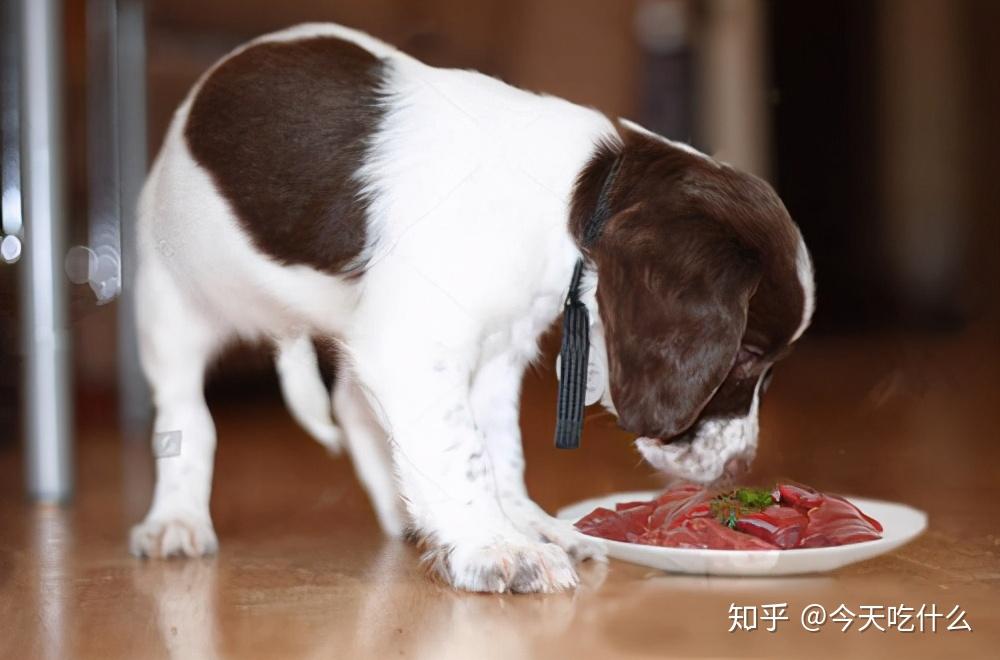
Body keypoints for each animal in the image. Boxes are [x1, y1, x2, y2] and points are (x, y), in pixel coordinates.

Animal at [129, 24, 812, 592]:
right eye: (745, 358)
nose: (741, 464)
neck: (570, 201)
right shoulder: (413, 345)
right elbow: (460, 453)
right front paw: (496, 547)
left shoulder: (494, 352)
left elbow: (494, 451)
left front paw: (523, 523)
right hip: (172, 301)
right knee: (187, 416)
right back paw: (176, 520)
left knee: (352, 403)